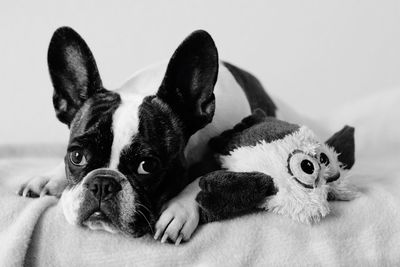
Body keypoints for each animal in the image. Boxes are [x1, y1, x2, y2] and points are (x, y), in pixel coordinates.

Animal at [17, 27, 276, 245]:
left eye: (147, 166)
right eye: (77, 156)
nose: (102, 183)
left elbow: (203, 180)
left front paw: (177, 211)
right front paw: (50, 177)